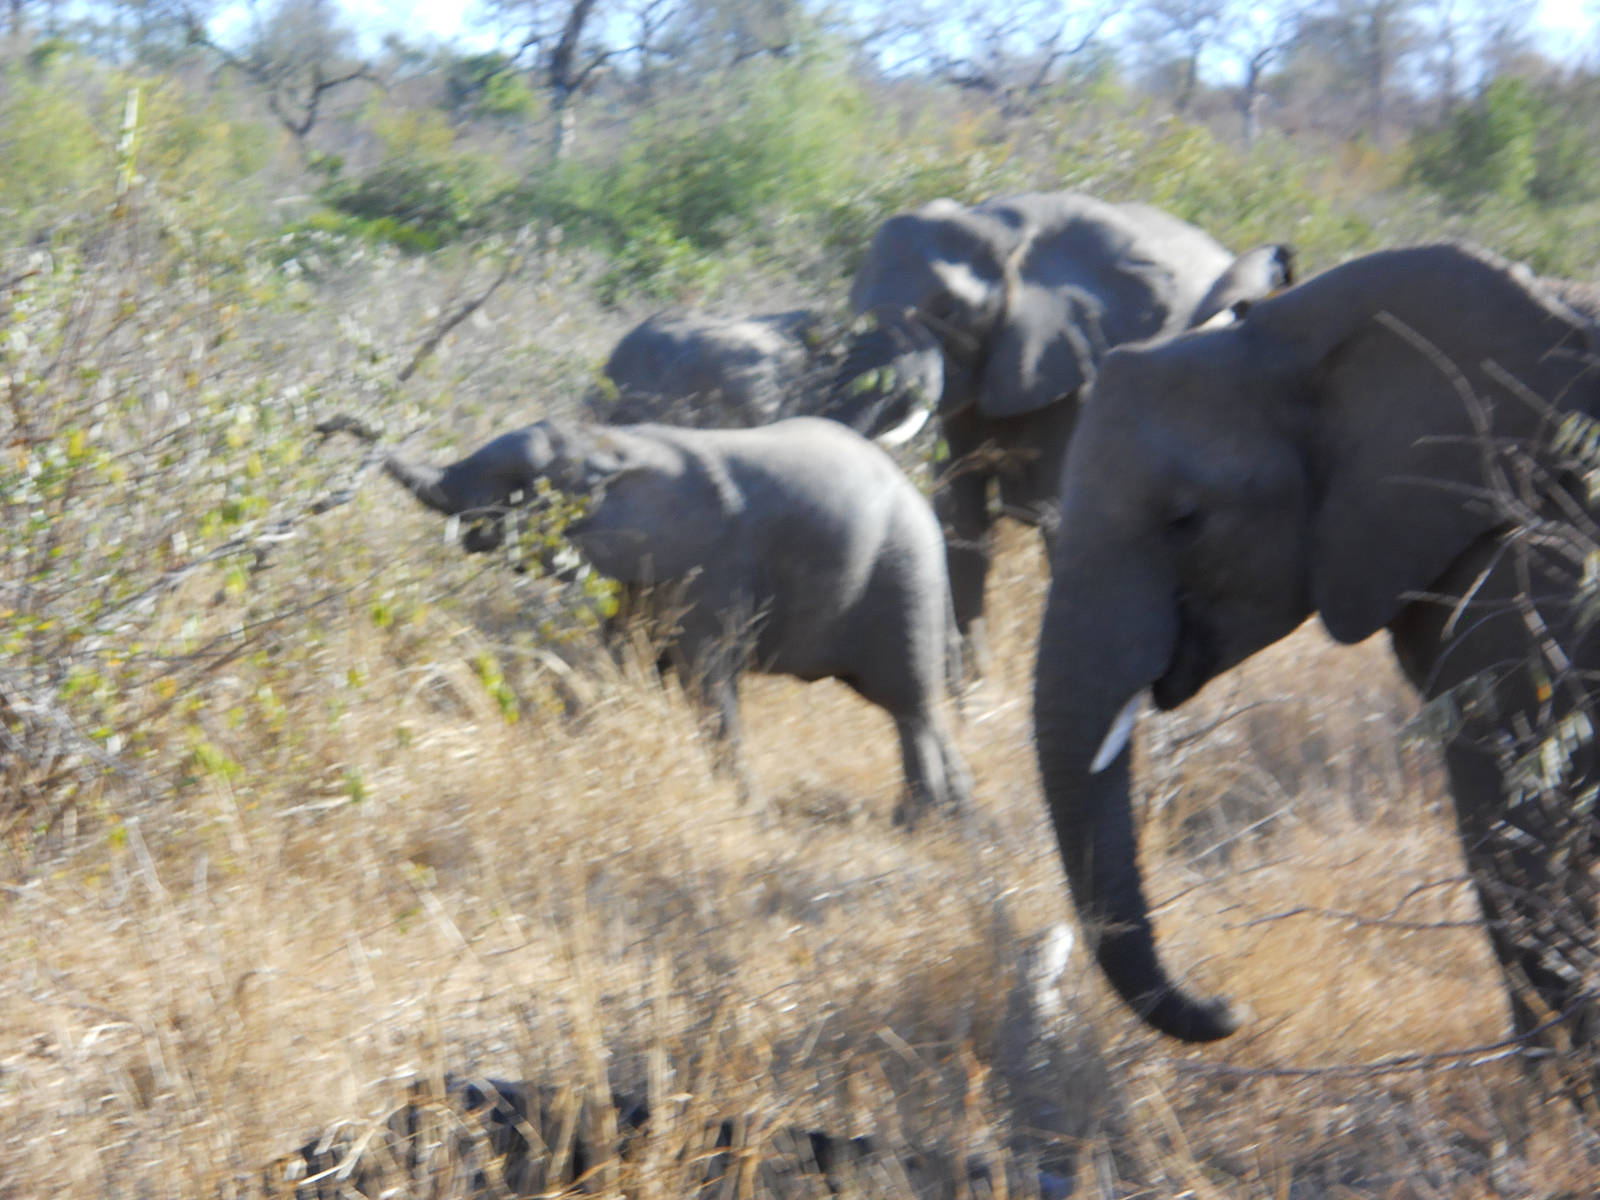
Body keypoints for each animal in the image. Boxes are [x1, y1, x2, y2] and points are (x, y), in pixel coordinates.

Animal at [332, 414, 971, 822]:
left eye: (515, 486)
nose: (333, 426)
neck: (610, 446)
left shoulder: (712, 564)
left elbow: (705, 679)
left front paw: (749, 817)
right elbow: (627, 660)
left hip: (902, 571)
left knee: (909, 704)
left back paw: (926, 822)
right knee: (912, 706)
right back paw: (953, 818)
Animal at [822, 190, 1295, 657]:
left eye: (947, 308)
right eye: (853, 306)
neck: (1001, 234)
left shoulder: (1077, 364)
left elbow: (1063, 519)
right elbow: (962, 523)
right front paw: (976, 681)